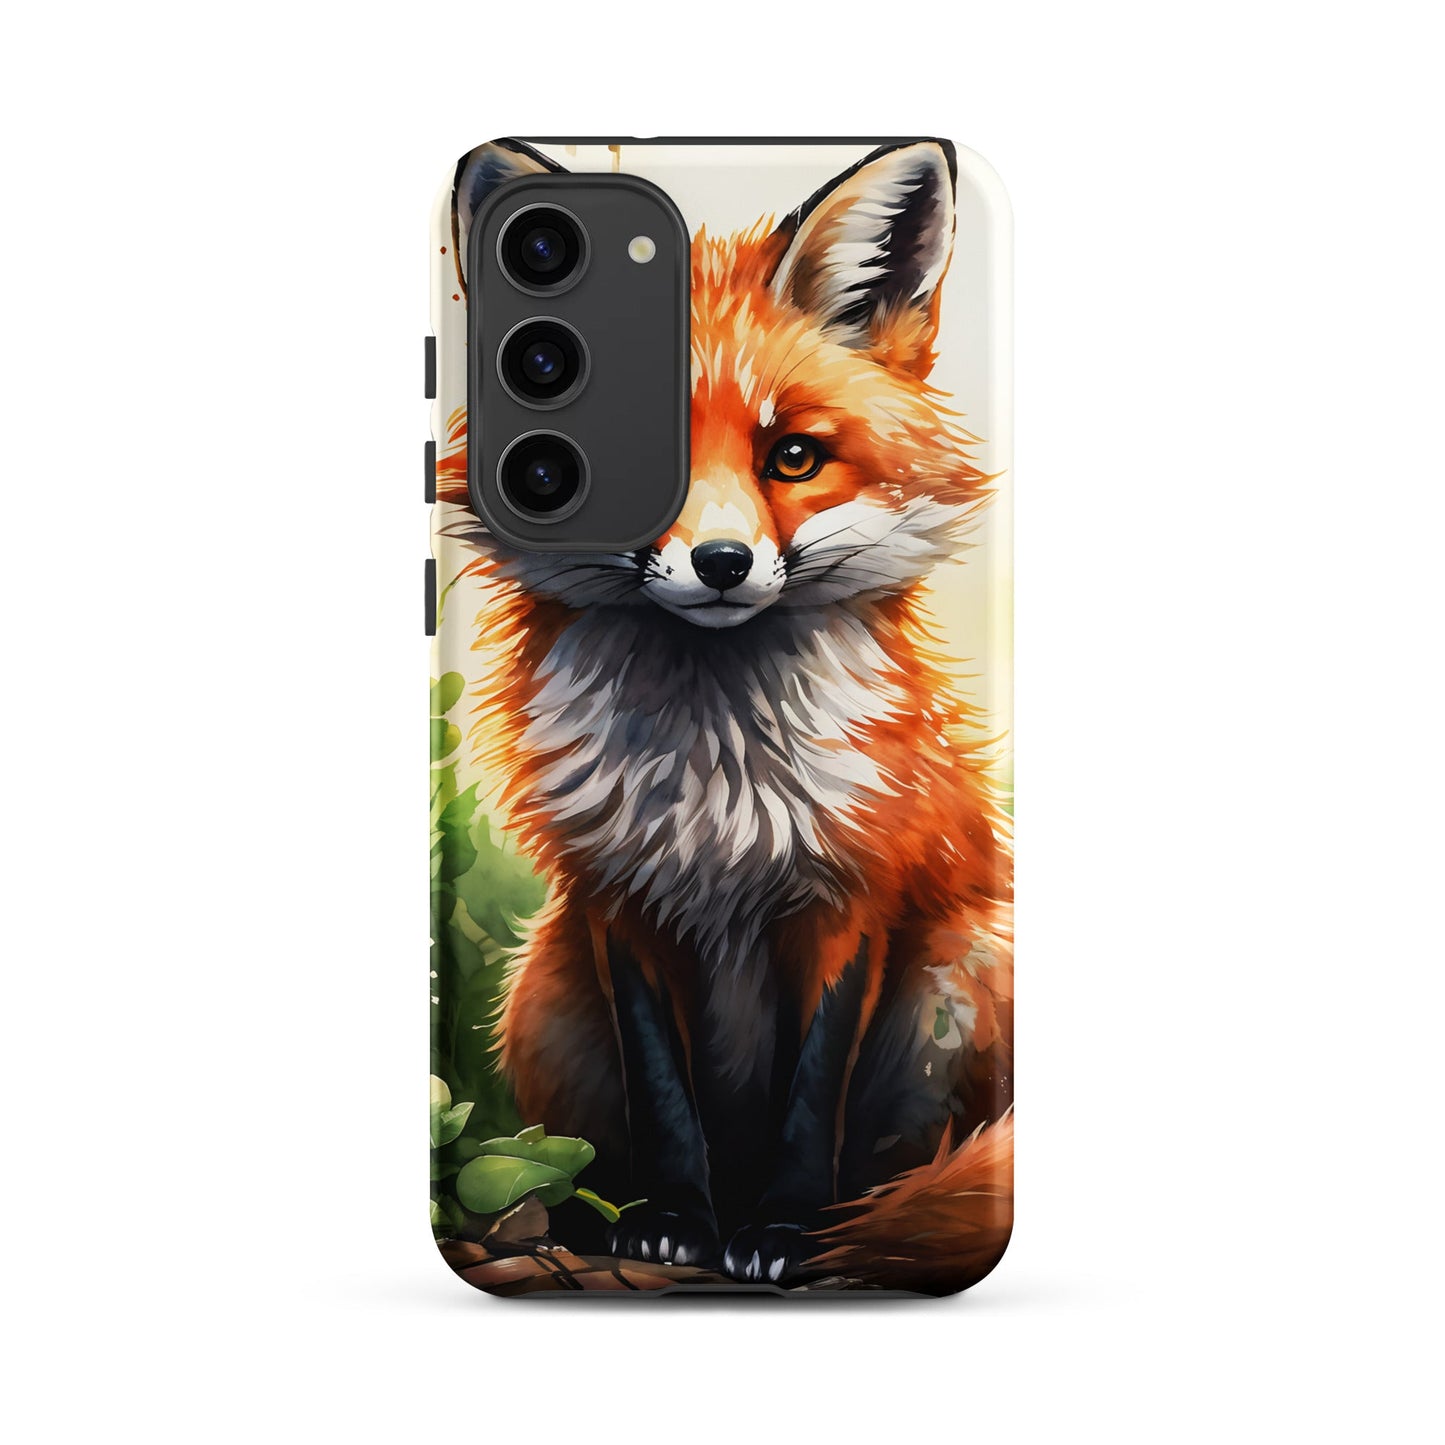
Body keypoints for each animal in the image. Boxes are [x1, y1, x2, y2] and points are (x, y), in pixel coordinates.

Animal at [437, 139, 1013, 1290]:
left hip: (961, 969)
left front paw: (783, 1230)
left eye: (792, 455)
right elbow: (665, 1096)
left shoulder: (851, 894)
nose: (719, 562)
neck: (719, 788)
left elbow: (811, 1095)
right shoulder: (618, 899)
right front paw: (672, 1218)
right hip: (543, 987)